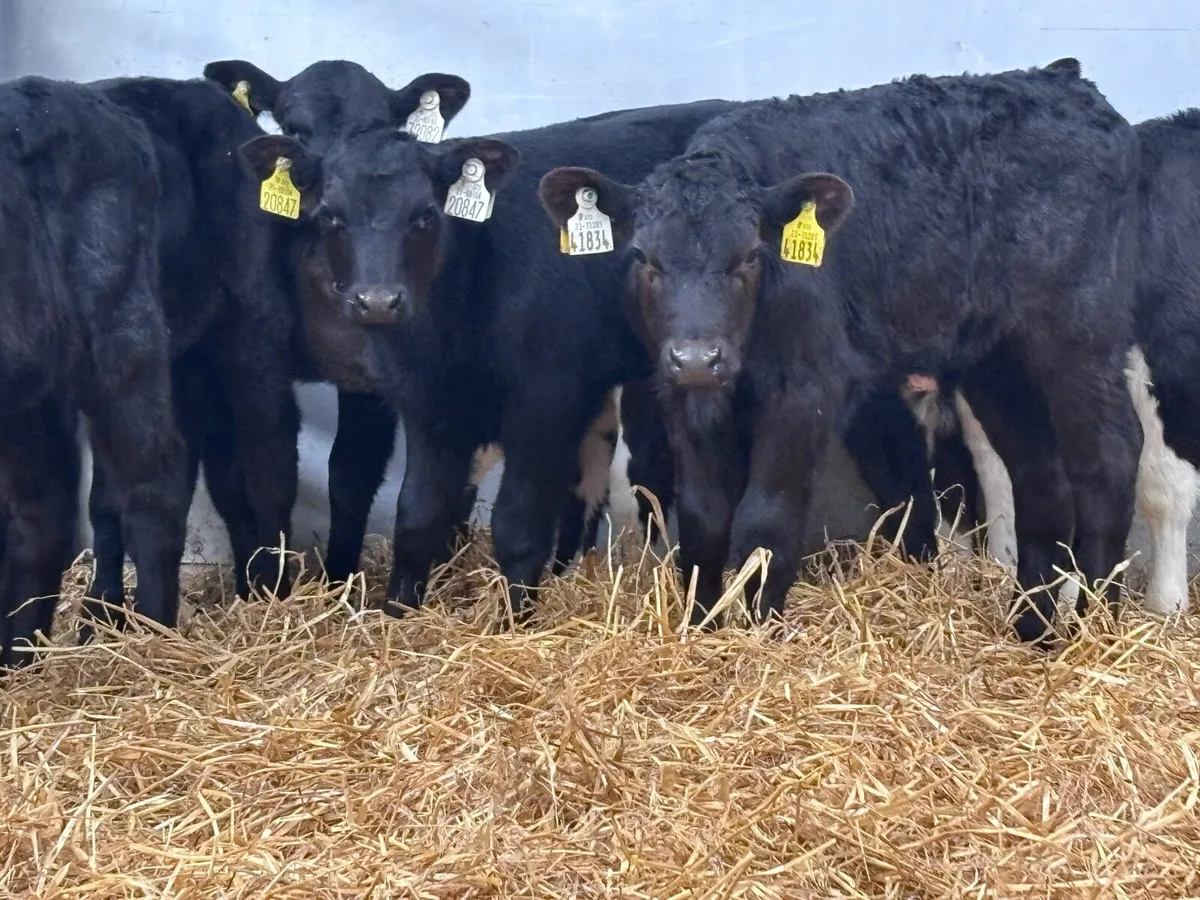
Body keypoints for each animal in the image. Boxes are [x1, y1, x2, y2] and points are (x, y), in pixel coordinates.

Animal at [0, 76, 190, 667]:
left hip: (120, 323)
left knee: (155, 476)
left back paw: (156, 635)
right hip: (32, 377)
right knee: (44, 506)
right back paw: (18, 651)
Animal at [538, 60, 1143, 643]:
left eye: (748, 256)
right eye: (645, 257)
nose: (697, 357)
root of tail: (1068, 84)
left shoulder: (807, 389)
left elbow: (767, 519)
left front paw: (757, 638)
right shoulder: (683, 398)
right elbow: (704, 518)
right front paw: (699, 630)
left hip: (1080, 334)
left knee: (1109, 457)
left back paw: (1095, 628)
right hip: (997, 359)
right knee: (1042, 480)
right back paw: (1030, 629)